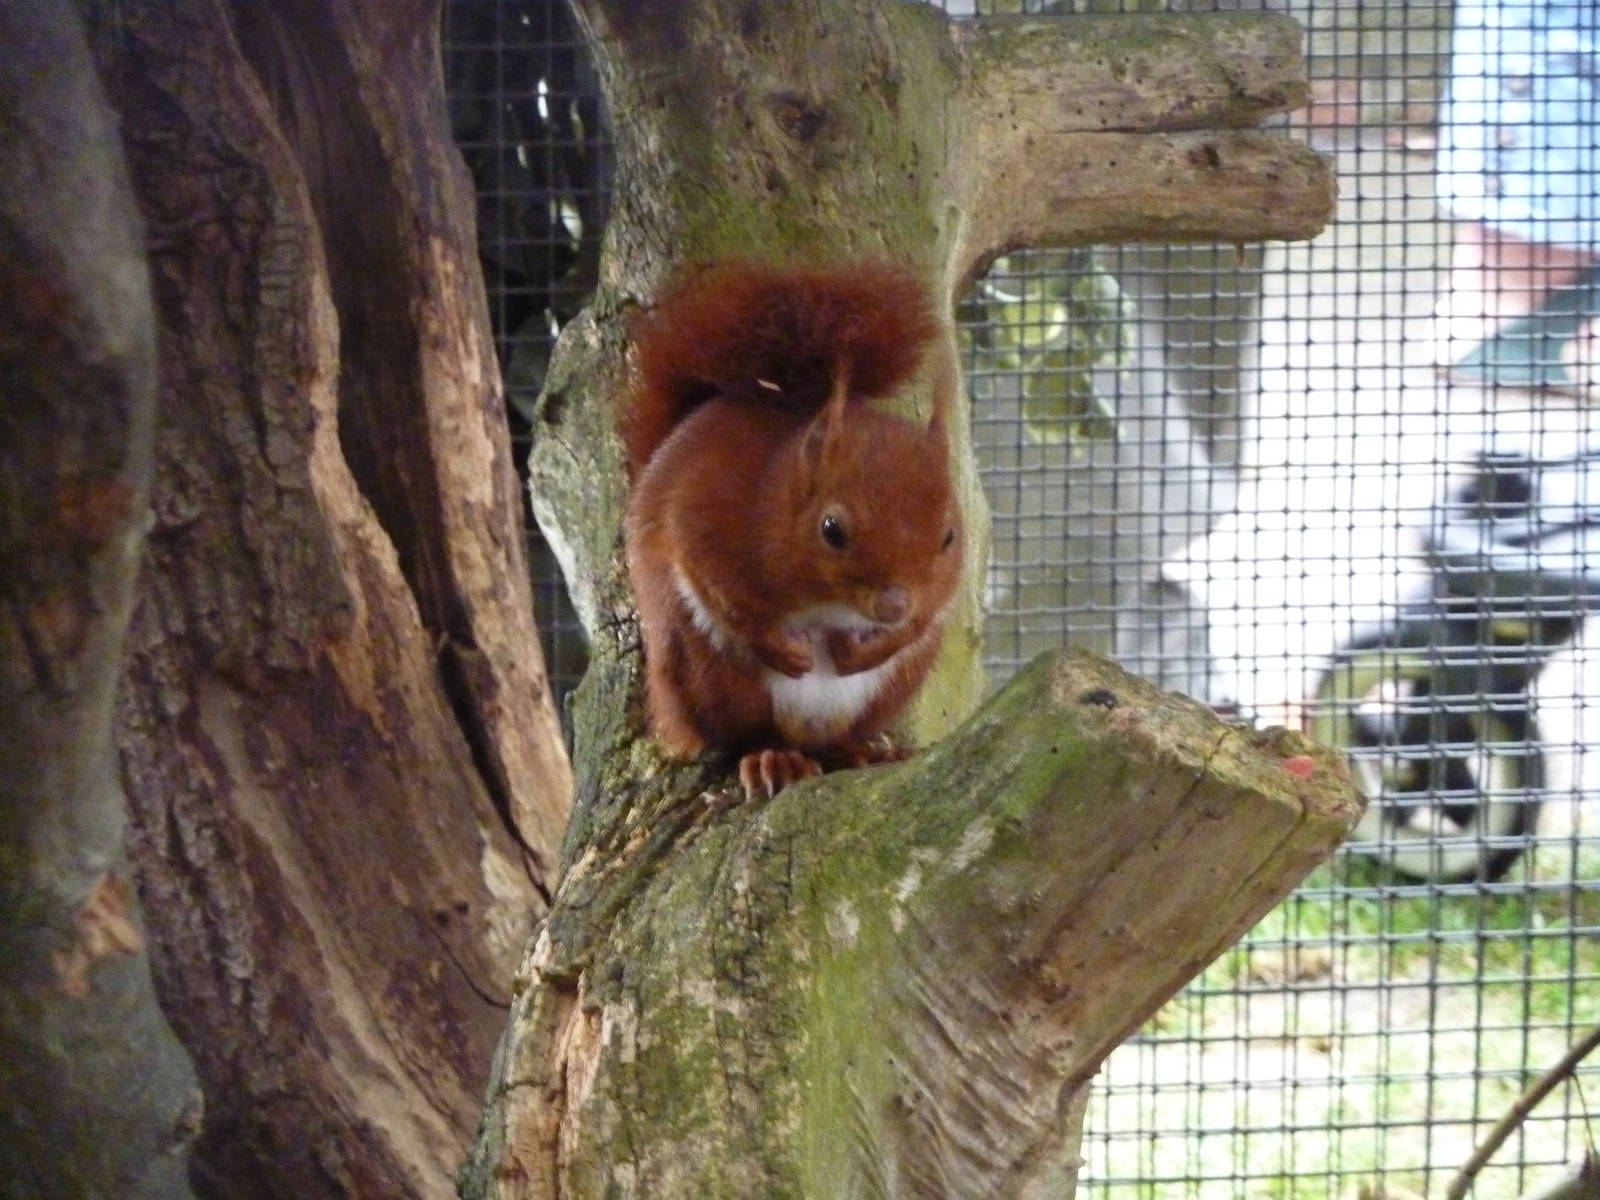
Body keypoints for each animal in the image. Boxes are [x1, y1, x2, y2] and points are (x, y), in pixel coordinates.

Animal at [621, 261, 964, 797]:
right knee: (745, 733)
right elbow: (716, 584)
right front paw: (779, 644)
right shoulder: (704, 507)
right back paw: (772, 757)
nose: (893, 606)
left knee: (843, 736)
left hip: (894, 686)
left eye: (948, 537)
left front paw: (877, 642)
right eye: (832, 530)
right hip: (706, 670)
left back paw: (862, 749)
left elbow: (929, 613)